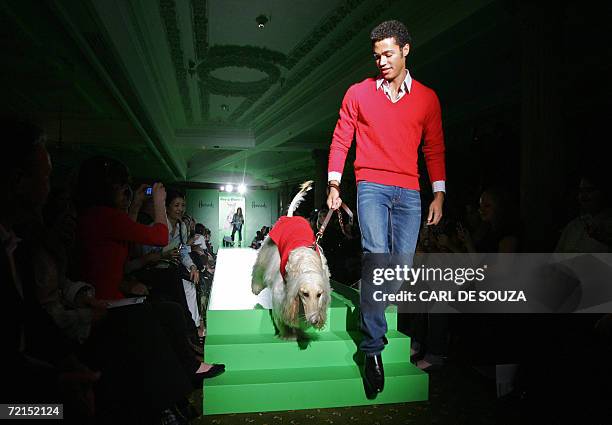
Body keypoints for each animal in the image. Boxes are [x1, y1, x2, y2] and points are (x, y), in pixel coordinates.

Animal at [252, 181, 332, 340]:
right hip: (268, 248)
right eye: (305, 294)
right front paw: (287, 334)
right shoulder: (283, 294)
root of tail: (290, 217)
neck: (307, 265)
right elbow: (282, 316)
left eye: (319, 294)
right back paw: (255, 288)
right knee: (258, 269)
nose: (314, 320)